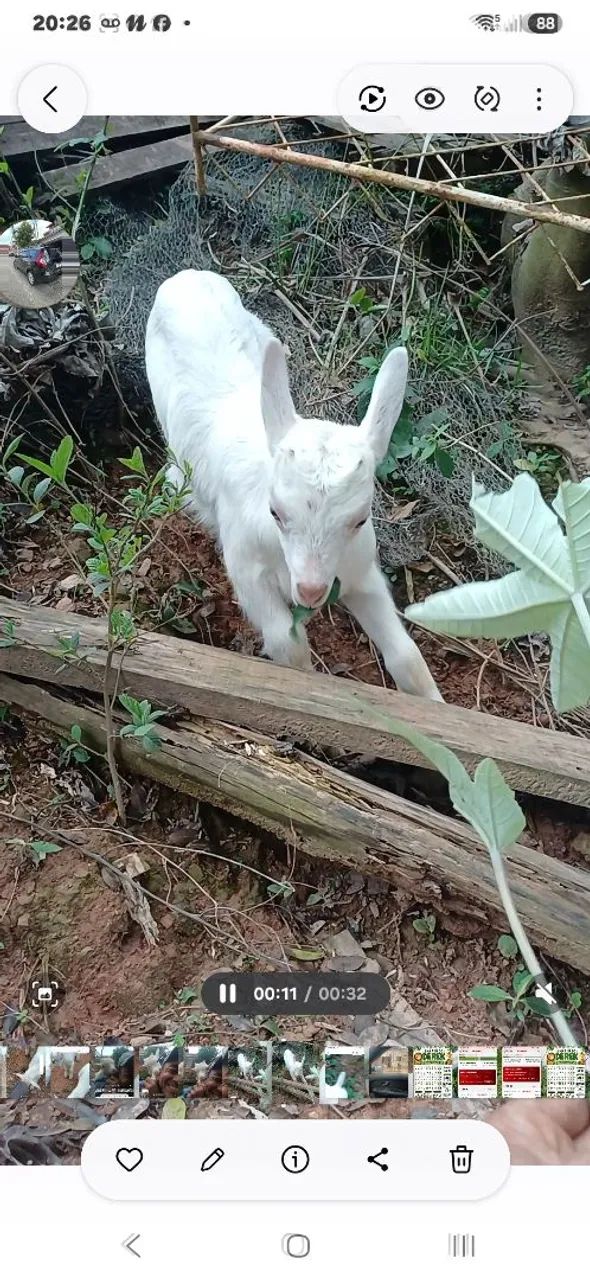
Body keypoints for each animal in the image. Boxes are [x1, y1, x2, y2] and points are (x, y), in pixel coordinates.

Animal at [145, 270, 441, 700]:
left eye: (359, 520)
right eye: (276, 513)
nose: (312, 590)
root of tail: (187, 276)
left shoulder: (359, 571)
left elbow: (407, 657)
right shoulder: (246, 570)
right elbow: (289, 647)